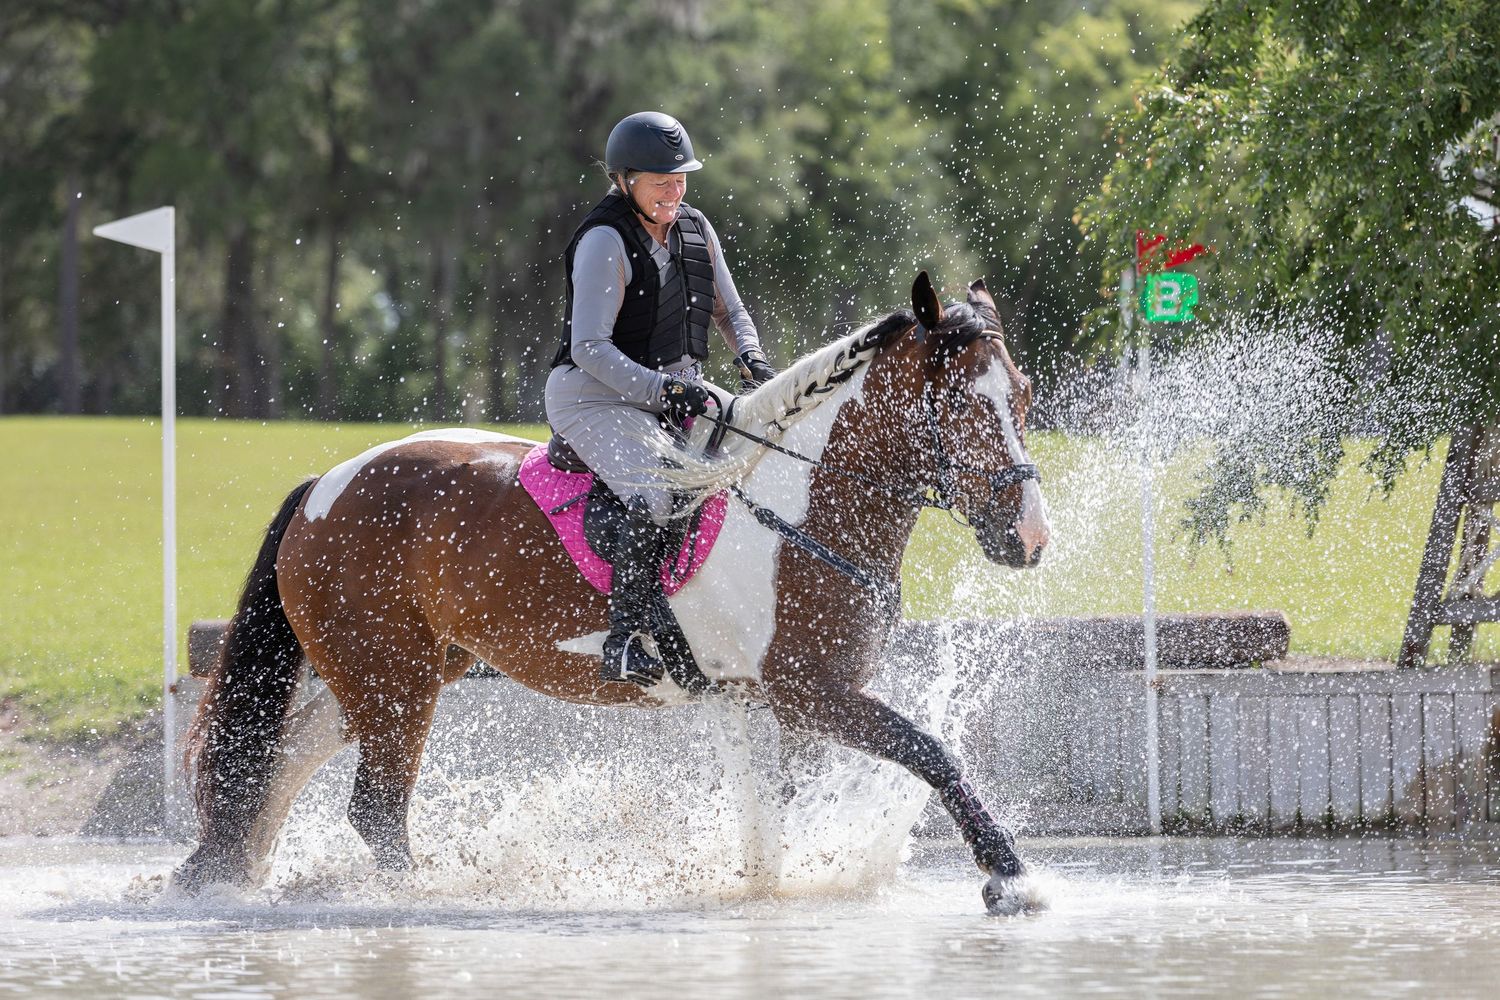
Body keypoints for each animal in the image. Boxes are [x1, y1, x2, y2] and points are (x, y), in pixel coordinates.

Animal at [177, 272, 1051, 914]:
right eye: (967, 403)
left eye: (1025, 398)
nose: (1031, 539)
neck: (801, 506)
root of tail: (325, 485)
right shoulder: (811, 692)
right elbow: (930, 751)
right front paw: (1009, 875)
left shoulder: (750, 698)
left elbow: (770, 813)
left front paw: (763, 891)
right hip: (393, 683)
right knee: (376, 809)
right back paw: (420, 892)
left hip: (382, 676)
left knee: (277, 768)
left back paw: (226, 872)